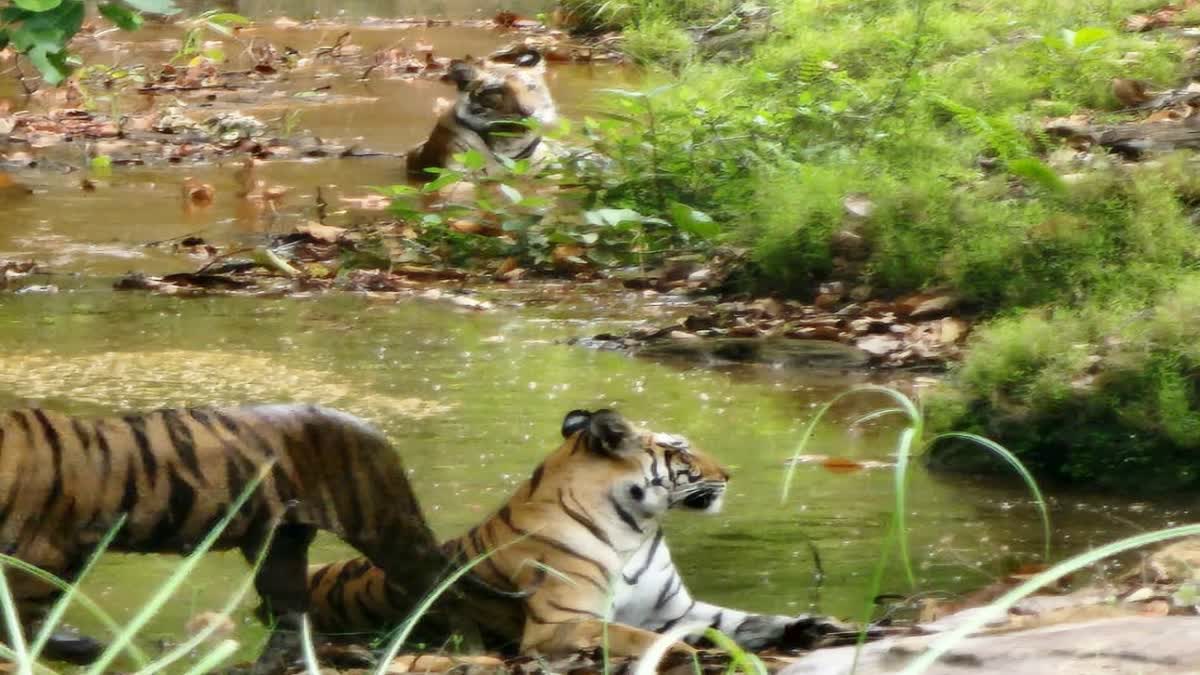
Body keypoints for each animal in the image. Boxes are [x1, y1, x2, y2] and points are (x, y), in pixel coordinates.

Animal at [0, 405, 515, 673]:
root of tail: (373, 430)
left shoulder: (40, 556)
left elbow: (23, 623)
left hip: (386, 528)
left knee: (445, 587)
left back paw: (468, 651)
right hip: (278, 545)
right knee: (292, 616)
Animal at [306, 408, 853, 658]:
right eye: (680, 449)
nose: (730, 474)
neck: (637, 531)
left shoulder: (680, 610)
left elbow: (744, 619)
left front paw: (811, 625)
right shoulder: (561, 623)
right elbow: (636, 634)